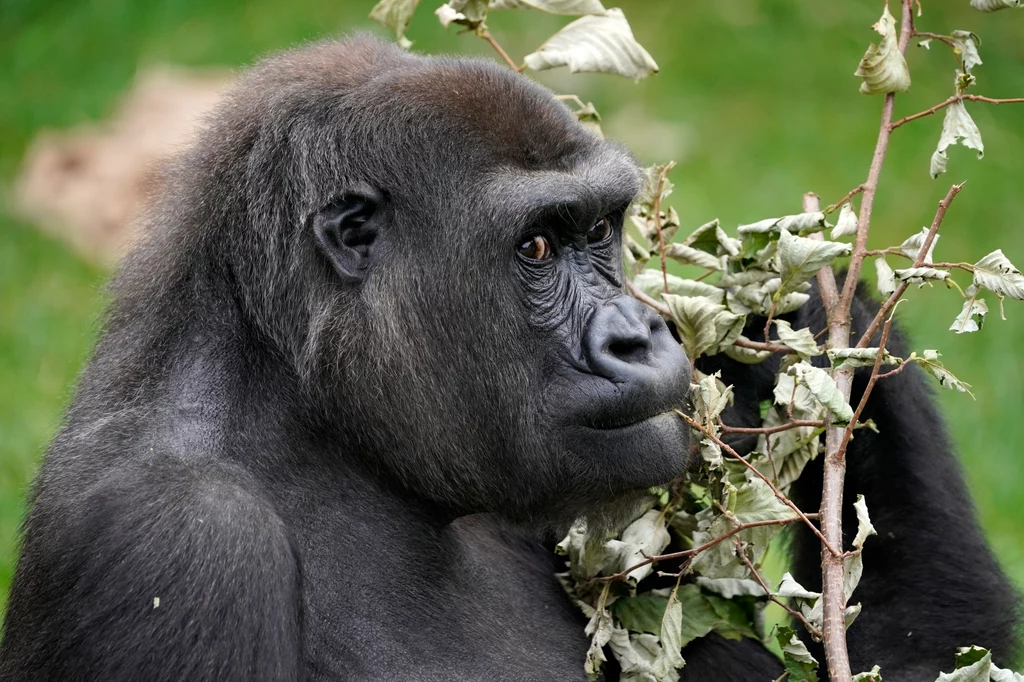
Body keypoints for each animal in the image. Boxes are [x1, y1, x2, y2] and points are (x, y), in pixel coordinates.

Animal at [2, 35, 1015, 679]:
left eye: (601, 232)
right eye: (535, 247)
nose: (639, 333)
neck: (308, 414)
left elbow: (923, 657)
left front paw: (799, 307)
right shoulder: (175, 543)